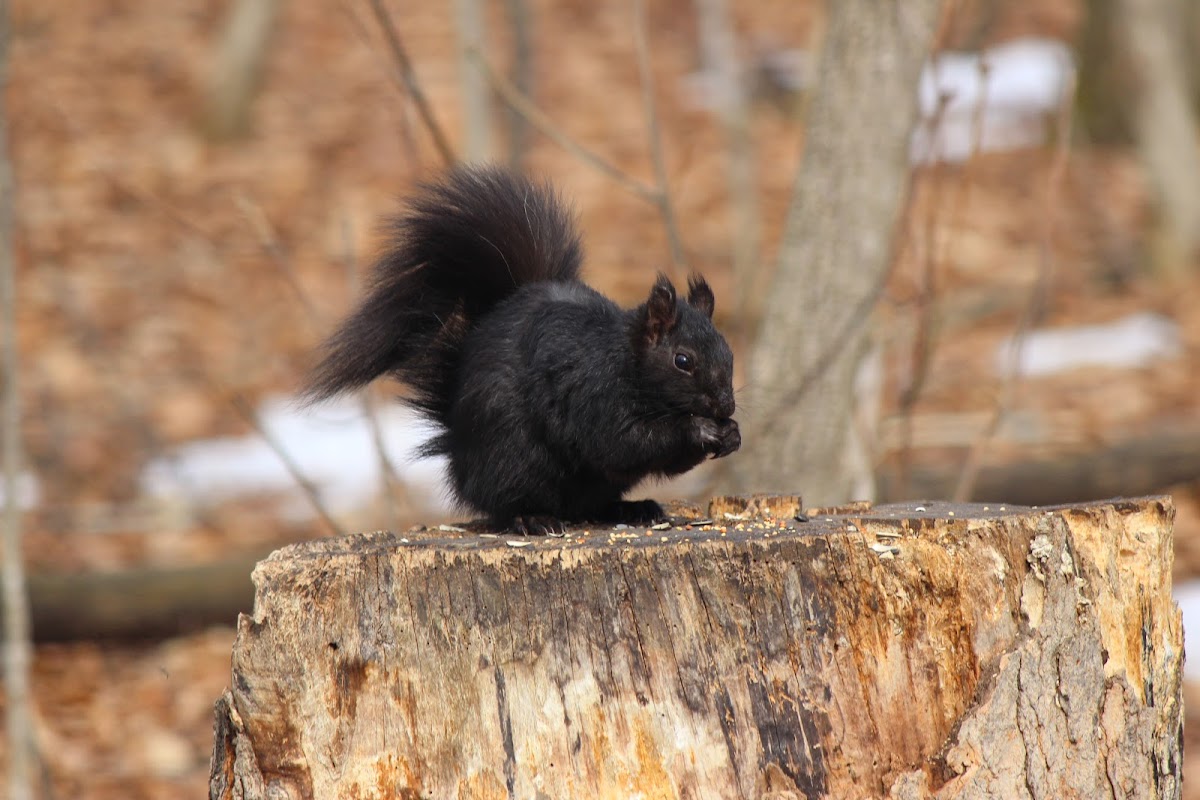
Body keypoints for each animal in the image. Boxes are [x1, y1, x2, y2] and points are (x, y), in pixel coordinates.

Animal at [307, 165, 739, 534]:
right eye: (683, 360)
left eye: (729, 354)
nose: (726, 405)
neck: (626, 362)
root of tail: (460, 453)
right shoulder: (594, 394)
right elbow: (624, 442)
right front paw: (699, 428)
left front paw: (731, 434)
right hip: (511, 460)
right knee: (504, 505)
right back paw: (532, 519)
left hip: (587, 484)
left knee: (591, 504)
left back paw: (631, 509)